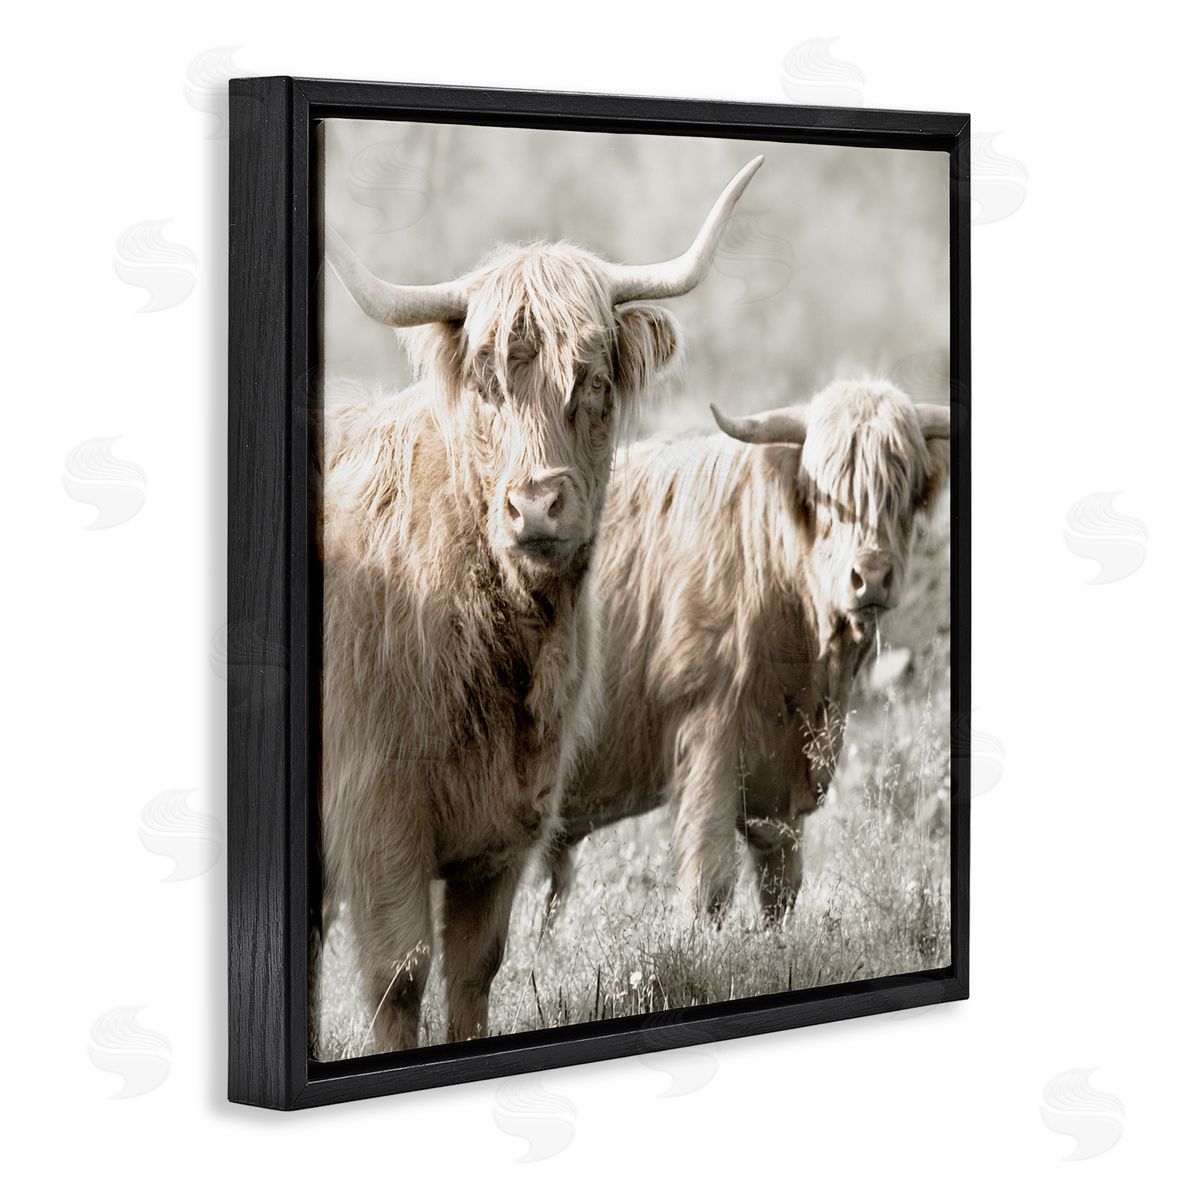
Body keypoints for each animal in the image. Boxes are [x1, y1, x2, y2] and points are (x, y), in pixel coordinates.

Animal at [316, 156, 763, 1052]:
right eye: (489, 383)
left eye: (591, 379)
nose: (536, 505)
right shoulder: (375, 815)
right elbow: (399, 978)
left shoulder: (503, 833)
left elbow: (473, 974)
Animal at [546, 379, 951, 924]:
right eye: (824, 496)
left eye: (902, 492)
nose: (871, 577)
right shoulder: (709, 737)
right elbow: (709, 882)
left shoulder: (781, 782)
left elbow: (780, 886)